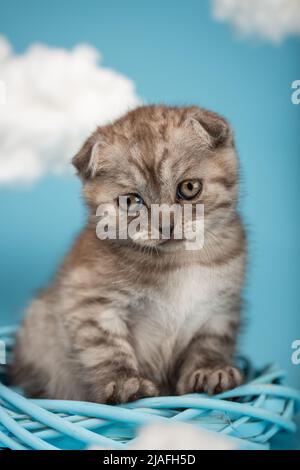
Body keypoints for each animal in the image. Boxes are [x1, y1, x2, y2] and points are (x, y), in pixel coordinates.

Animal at [11, 106, 246, 404]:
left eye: (190, 188)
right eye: (131, 201)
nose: (166, 225)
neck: (179, 262)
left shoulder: (220, 308)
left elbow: (210, 343)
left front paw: (210, 370)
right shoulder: (90, 303)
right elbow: (107, 347)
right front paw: (125, 382)